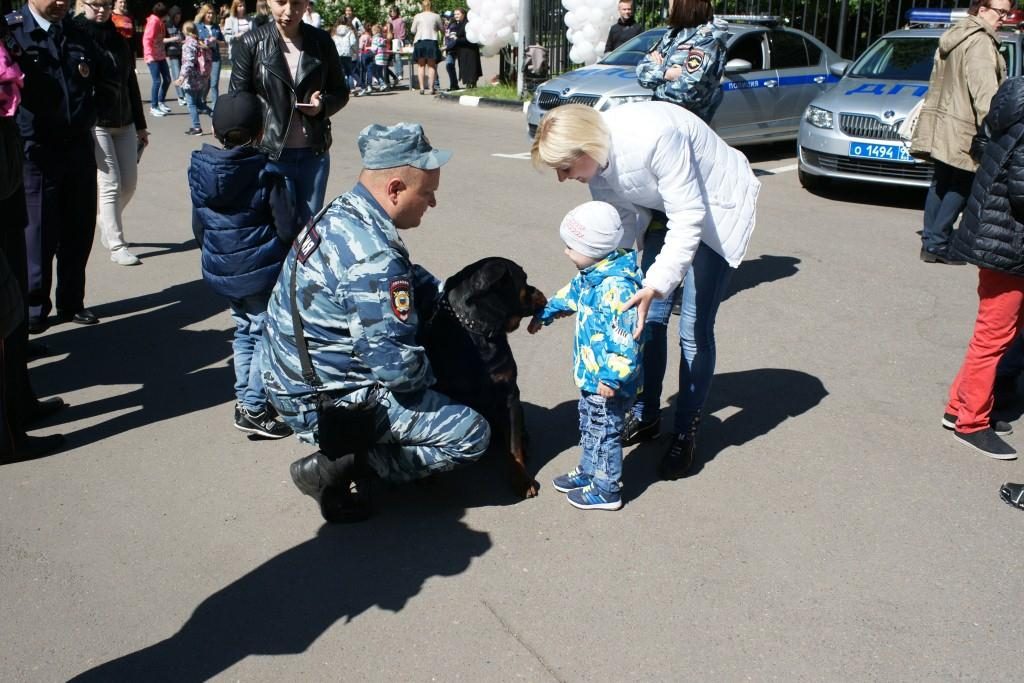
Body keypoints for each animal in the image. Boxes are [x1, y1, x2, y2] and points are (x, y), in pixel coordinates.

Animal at [417, 255, 544, 497]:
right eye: (524, 279)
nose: (538, 290)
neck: (479, 332)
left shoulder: (509, 395)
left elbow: (513, 447)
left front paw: (522, 479)